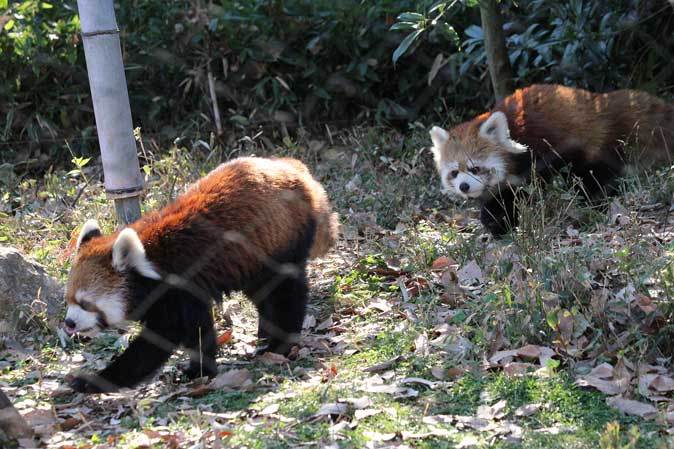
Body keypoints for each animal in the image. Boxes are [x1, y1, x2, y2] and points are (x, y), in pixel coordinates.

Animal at [64, 158, 336, 392]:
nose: (69, 323)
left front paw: (94, 381)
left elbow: (161, 340)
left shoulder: (180, 286)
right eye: (69, 300)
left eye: (86, 303)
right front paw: (200, 368)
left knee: (286, 291)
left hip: (284, 239)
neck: (151, 262)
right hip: (254, 258)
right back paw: (264, 338)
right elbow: (197, 330)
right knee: (263, 293)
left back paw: (281, 344)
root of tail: (292, 168)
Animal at [428, 83, 668, 234]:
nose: (464, 186)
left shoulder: (547, 144)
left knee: (594, 172)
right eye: (454, 173)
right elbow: (501, 200)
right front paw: (497, 223)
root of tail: (599, 105)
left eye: (475, 168)